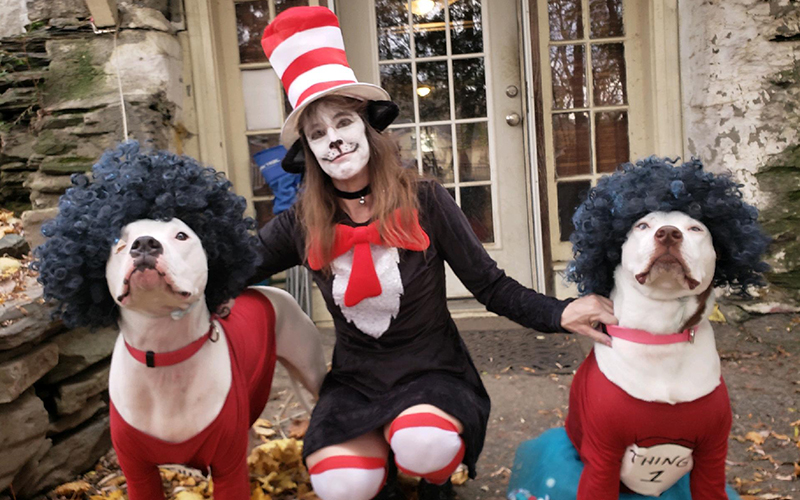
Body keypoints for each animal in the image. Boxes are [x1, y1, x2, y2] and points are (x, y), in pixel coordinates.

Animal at [33, 143, 328, 500]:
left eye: (182, 235)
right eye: (118, 241)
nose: (145, 243)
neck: (163, 354)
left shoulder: (228, 466)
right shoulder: (137, 469)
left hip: (310, 369)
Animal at [510, 158, 772, 500]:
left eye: (696, 228)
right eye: (642, 226)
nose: (669, 234)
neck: (659, 334)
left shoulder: (713, 451)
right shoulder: (603, 453)